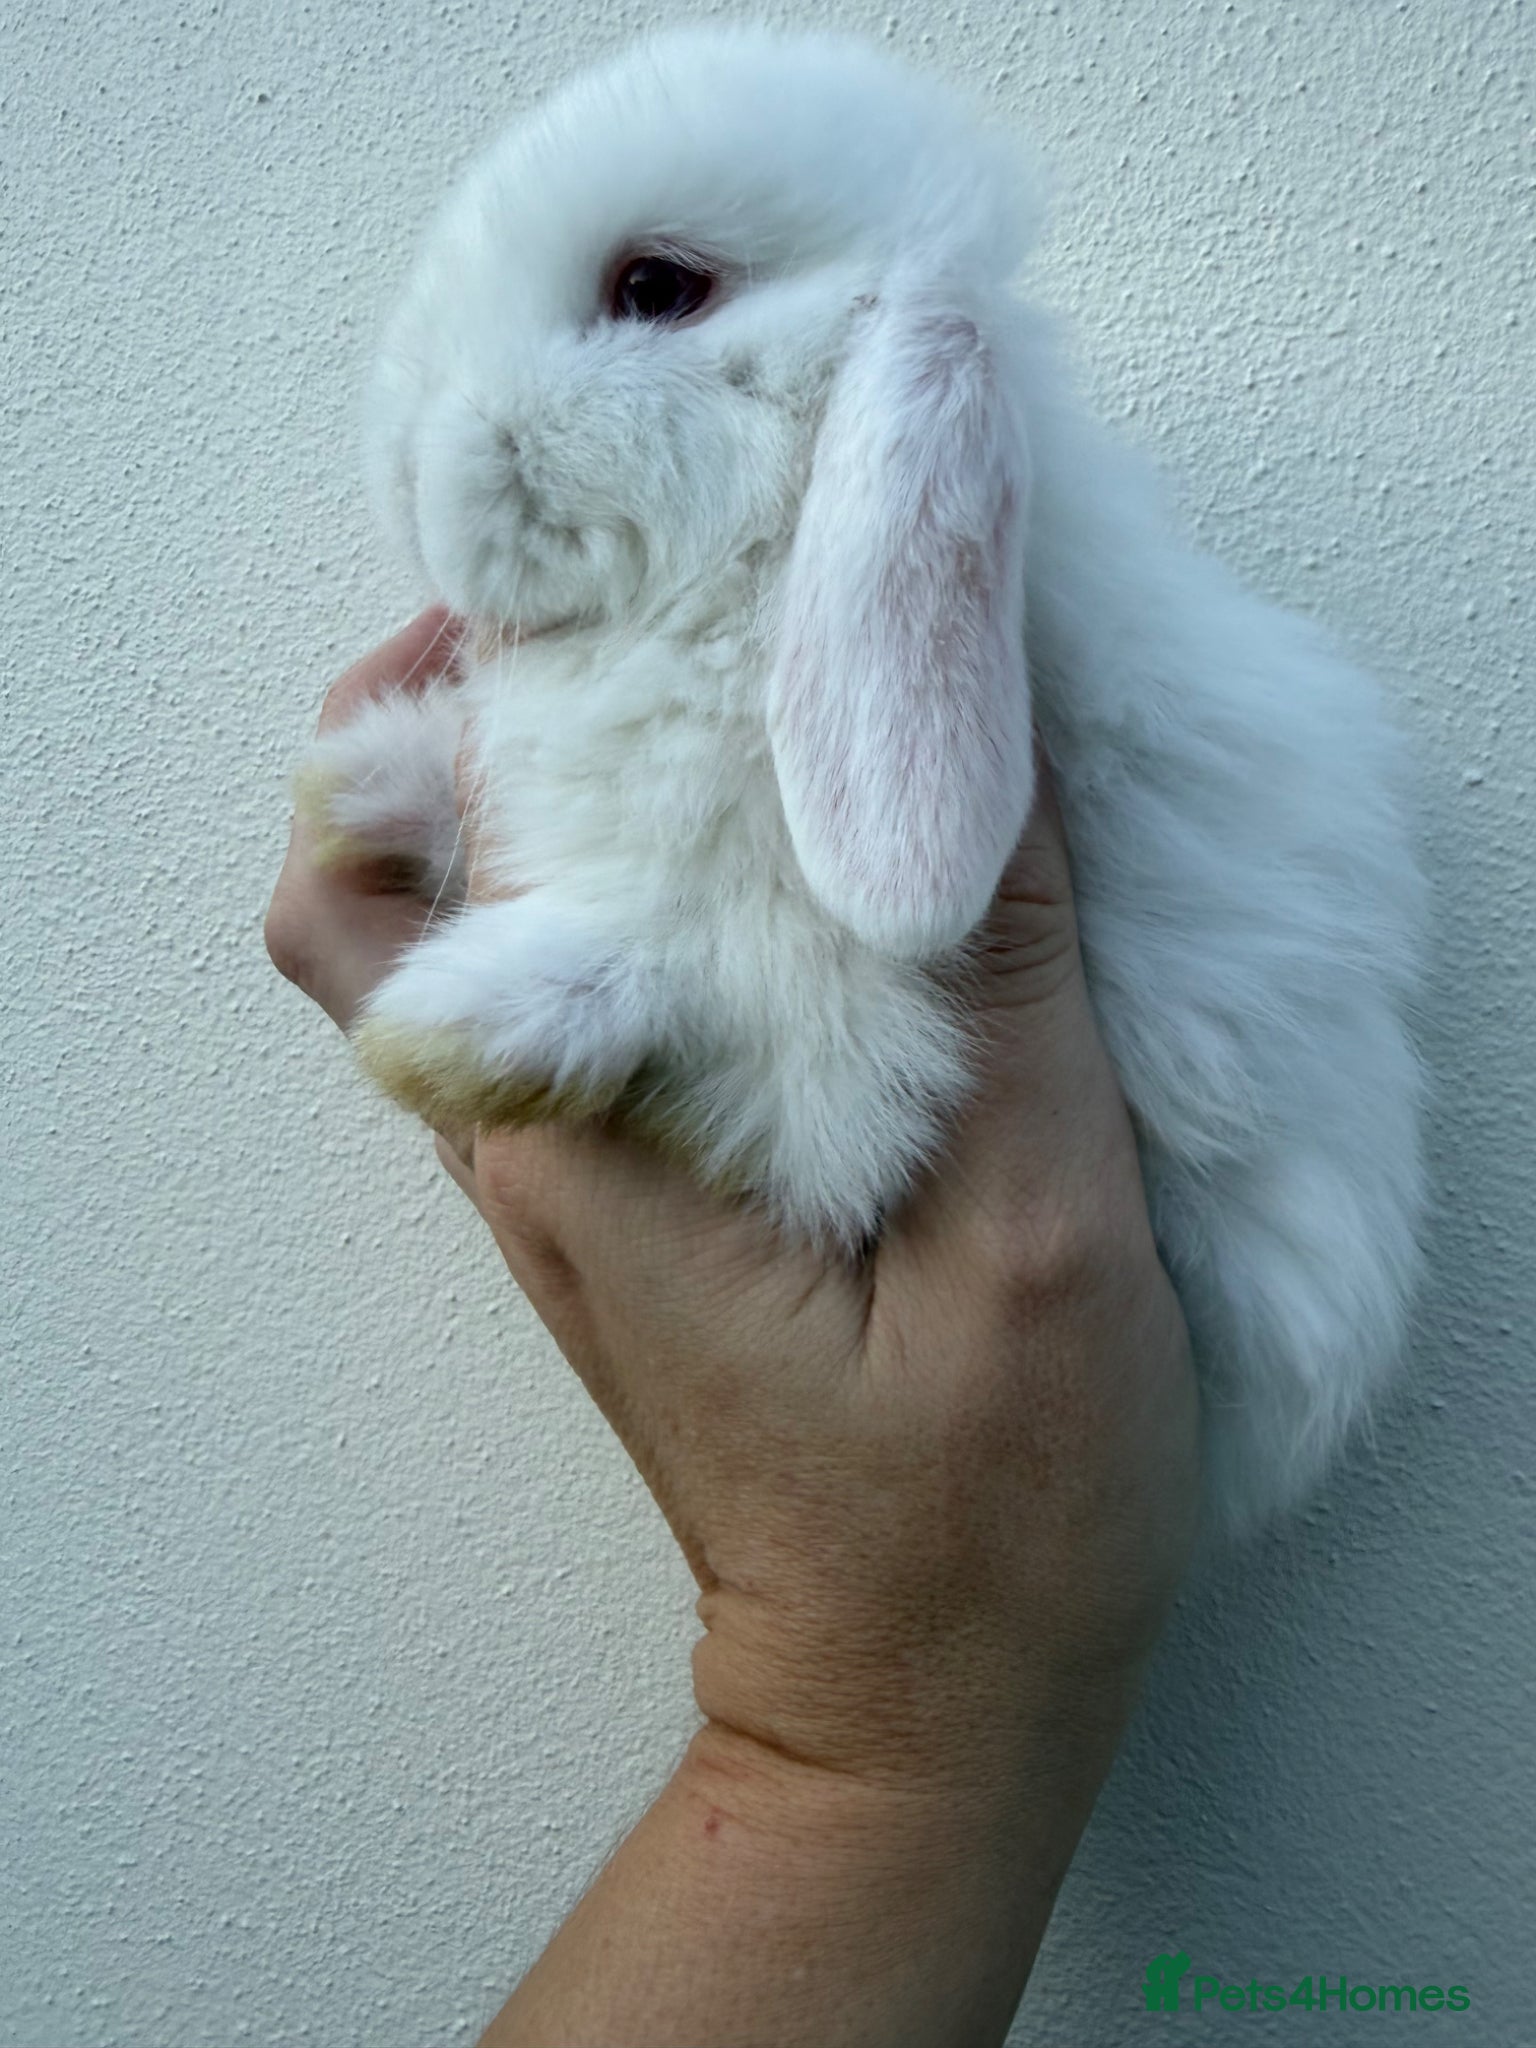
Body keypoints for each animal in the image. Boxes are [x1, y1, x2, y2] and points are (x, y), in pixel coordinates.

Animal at [297, 23, 1426, 1536]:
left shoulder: (825, 1052)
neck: (733, 584)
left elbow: (672, 977)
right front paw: (363, 776)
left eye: (655, 287)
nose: (416, 488)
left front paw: (463, 1026)